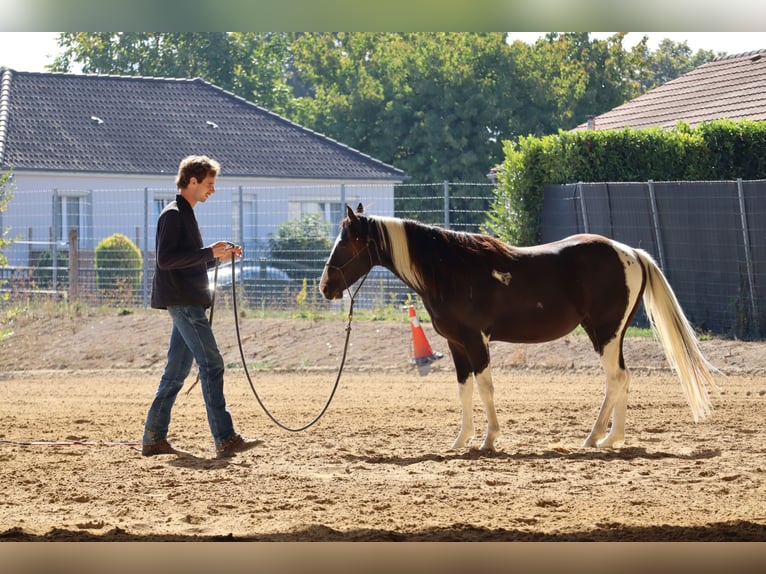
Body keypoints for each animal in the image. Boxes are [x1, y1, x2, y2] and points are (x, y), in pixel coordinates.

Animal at [319, 203, 718, 451]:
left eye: (345, 243)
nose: (325, 287)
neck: (450, 269)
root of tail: (631, 253)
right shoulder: (456, 345)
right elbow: (464, 390)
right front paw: (460, 440)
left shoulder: (475, 341)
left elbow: (485, 388)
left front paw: (489, 439)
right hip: (610, 335)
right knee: (622, 378)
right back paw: (607, 438)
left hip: (604, 333)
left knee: (616, 379)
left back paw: (599, 438)